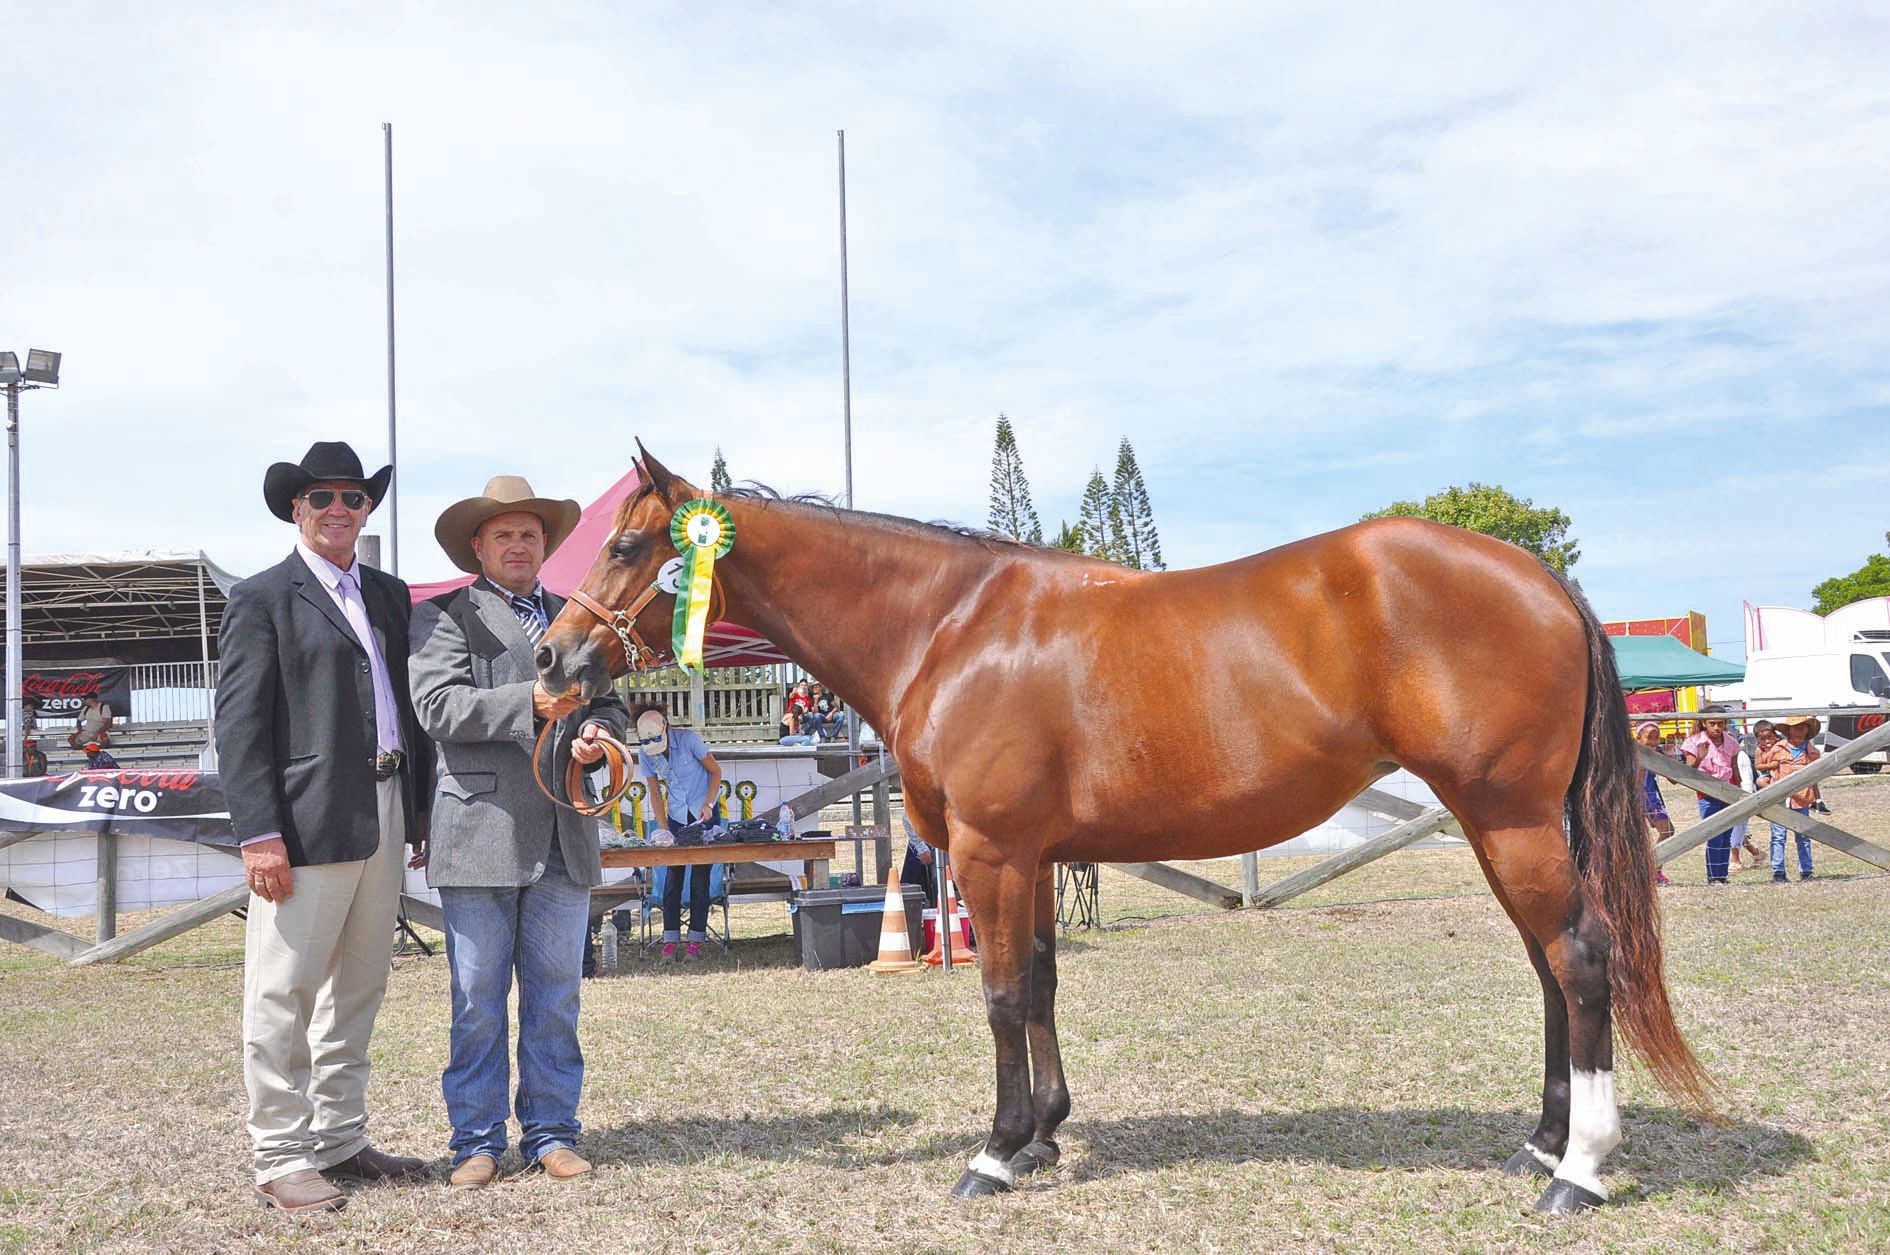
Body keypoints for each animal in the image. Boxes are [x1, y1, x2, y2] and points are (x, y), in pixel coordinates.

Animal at [535, 443, 1712, 1214]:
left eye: (630, 543)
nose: (548, 660)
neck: (952, 626)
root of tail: (1543, 580)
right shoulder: (1035, 855)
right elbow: (1043, 986)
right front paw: (1046, 1135)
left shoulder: (992, 851)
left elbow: (1002, 994)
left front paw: (998, 1152)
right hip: (1501, 825)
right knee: (1552, 966)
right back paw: (1542, 1145)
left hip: (1511, 820)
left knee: (1582, 958)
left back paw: (1579, 1169)